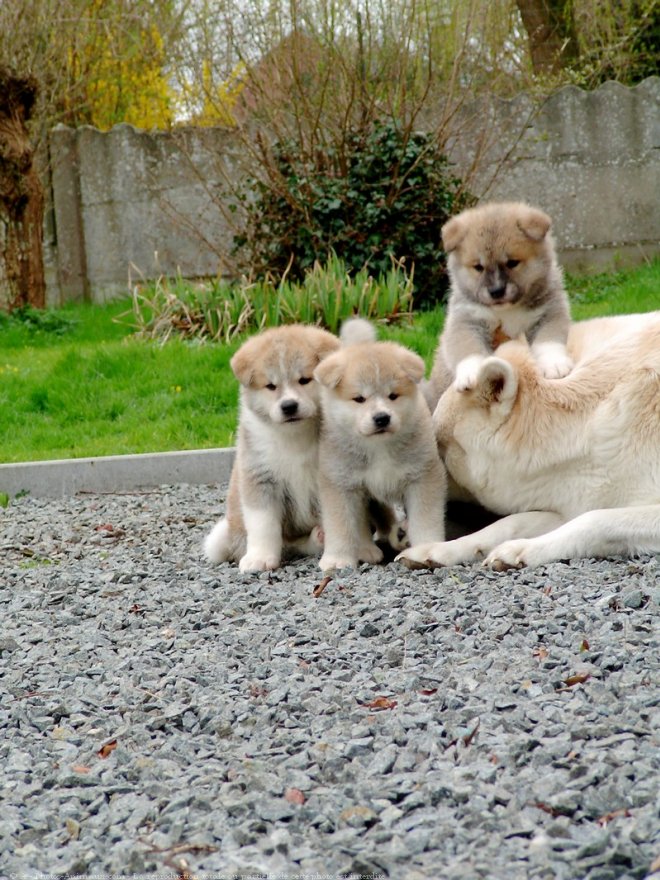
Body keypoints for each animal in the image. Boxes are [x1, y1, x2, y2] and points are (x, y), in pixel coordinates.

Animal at [204, 324, 340, 572]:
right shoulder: (260, 478)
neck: (294, 439)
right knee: (288, 544)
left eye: (304, 380)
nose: (289, 406)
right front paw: (259, 558)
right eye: (270, 386)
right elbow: (263, 525)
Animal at [314, 320, 448, 576]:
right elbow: (341, 525)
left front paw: (425, 547)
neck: (378, 447)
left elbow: (425, 518)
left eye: (393, 395)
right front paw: (337, 558)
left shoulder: (422, 476)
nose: (382, 418)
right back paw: (366, 549)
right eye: (359, 399)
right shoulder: (341, 483)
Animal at [426, 201, 576, 410]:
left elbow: (548, 341)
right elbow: (469, 349)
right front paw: (473, 372)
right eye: (478, 267)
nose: (496, 291)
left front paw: (554, 364)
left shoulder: (549, 312)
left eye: (512, 263)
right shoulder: (466, 321)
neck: (507, 311)